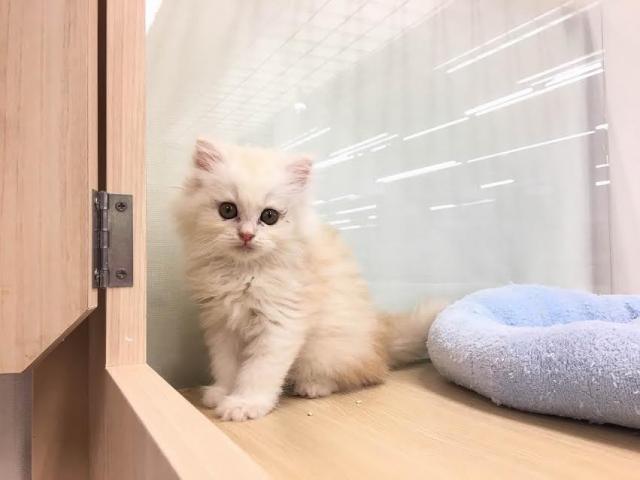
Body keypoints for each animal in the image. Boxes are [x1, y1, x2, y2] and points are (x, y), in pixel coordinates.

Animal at [174, 138, 444, 421]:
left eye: (269, 216)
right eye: (227, 210)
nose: (246, 235)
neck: (245, 272)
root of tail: (382, 336)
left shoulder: (280, 322)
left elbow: (259, 370)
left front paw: (245, 404)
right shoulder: (222, 326)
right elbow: (226, 366)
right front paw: (222, 393)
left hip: (327, 348)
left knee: (360, 375)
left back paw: (313, 386)